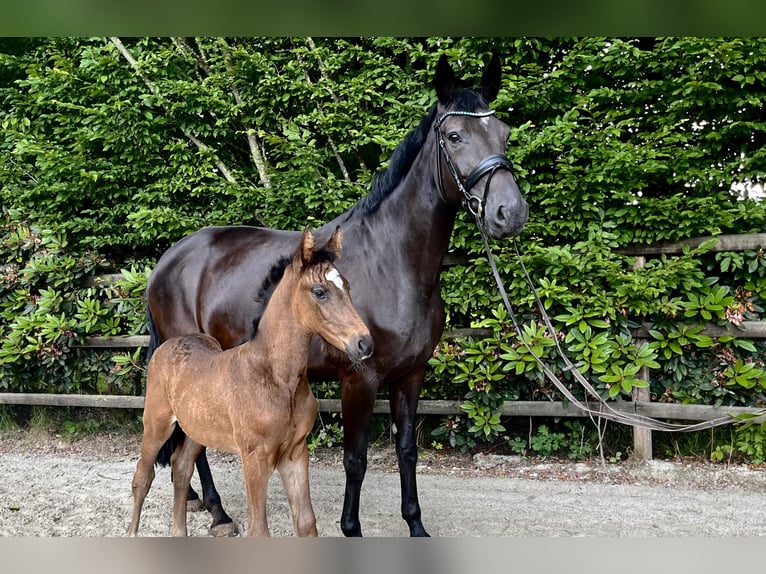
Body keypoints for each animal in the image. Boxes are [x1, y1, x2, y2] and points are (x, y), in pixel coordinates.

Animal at [129, 227, 376, 536]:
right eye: (320, 292)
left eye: (348, 287)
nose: (364, 343)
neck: (278, 379)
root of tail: (171, 343)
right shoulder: (255, 458)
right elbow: (259, 529)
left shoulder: (295, 453)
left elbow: (306, 522)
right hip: (156, 423)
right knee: (143, 476)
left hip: (198, 429)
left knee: (181, 466)